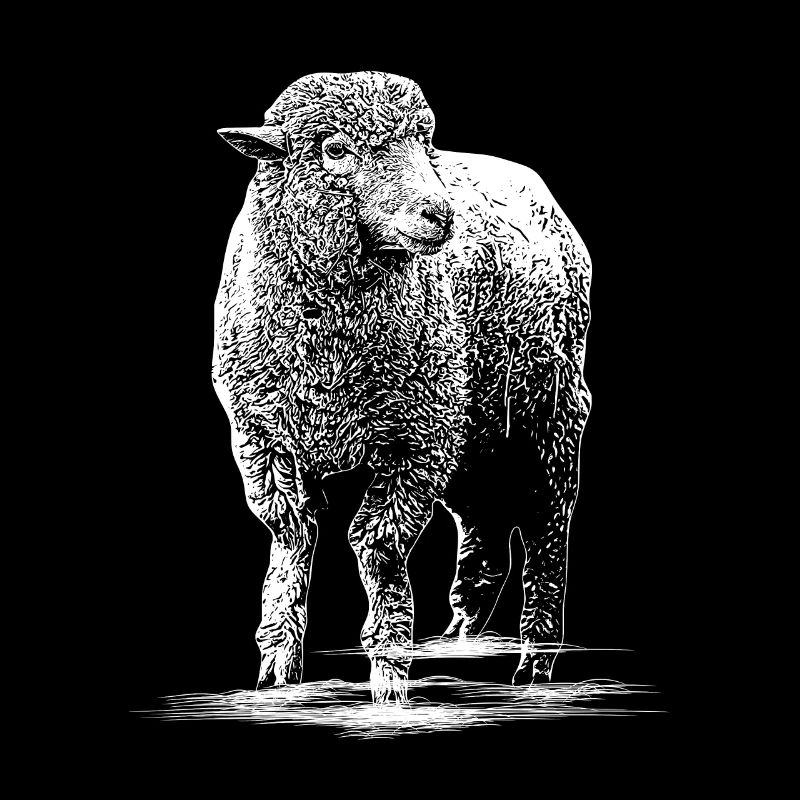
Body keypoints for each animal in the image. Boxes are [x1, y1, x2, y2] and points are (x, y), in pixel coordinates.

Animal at [213, 71, 591, 703]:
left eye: (423, 143)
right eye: (333, 148)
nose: (440, 213)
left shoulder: (413, 443)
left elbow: (376, 545)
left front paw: (389, 686)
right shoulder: (266, 446)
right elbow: (291, 544)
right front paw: (278, 679)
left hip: (546, 413)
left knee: (548, 528)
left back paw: (533, 664)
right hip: (472, 433)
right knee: (486, 539)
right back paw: (460, 643)